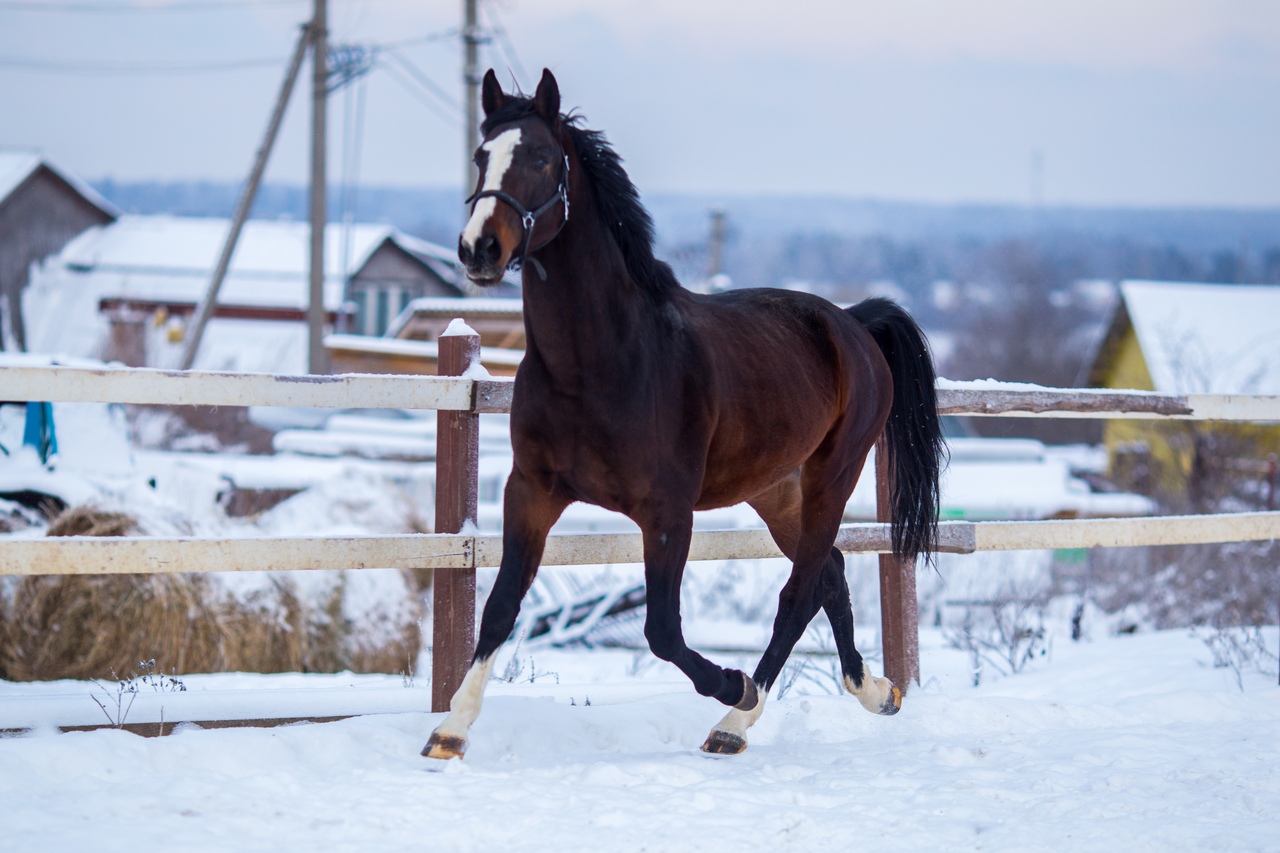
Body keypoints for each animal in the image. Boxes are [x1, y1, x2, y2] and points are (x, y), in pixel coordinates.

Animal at [423, 68, 944, 759]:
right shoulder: (532, 491)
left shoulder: (668, 512)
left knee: (799, 592)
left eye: (540, 158)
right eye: (482, 157)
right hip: (777, 491)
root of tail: (854, 324)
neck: (601, 365)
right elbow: (502, 606)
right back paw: (877, 692)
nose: (478, 248)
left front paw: (734, 685)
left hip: (832, 478)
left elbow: (663, 630)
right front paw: (450, 731)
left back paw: (736, 721)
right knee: (829, 576)